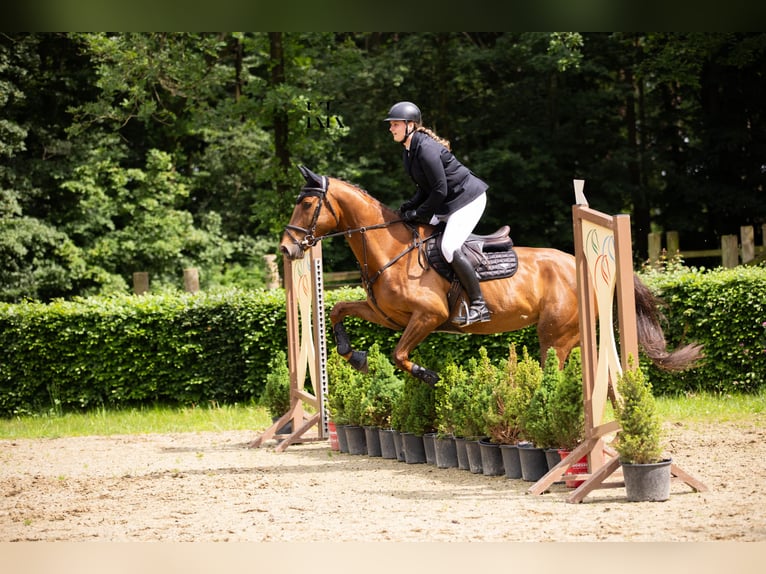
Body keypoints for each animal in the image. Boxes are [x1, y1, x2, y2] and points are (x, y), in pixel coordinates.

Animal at [280, 166, 704, 388]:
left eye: (307, 203)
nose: (287, 249)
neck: (389, 248)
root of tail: (576, 262)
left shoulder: (428, 316)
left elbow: (400, 355)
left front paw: (429, 375)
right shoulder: (389, 316)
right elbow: (337, 310)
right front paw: (355, 356)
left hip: (555, 336)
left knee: (556, 370)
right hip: (576, 335)